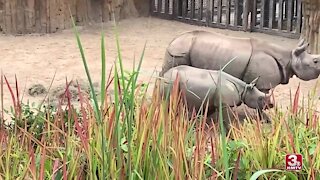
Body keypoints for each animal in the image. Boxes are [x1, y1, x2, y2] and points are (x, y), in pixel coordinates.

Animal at [160, 29, 320, 93]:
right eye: (315, 61)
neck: (289, 57)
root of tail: (173, 40)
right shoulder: (262, 83)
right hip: (179, 51)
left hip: (180, 49)